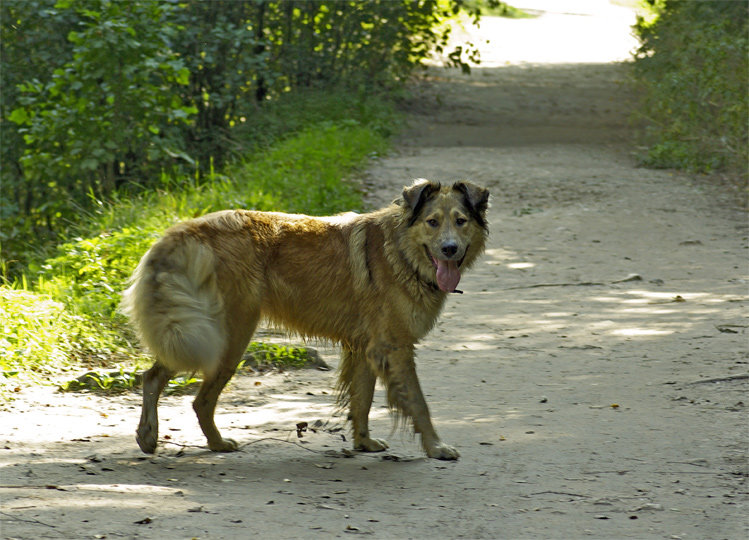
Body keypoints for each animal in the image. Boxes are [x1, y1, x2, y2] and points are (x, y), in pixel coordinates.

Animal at [123, 179, 488, 458]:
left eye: (461, 221)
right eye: (432, 222)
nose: (450, 249)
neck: (401, 251)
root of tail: (189, 230)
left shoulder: (366, 348)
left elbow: (362, 399)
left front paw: (364, 442)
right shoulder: (394, 347)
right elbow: (418, 402)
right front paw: (436, 447)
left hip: (198, 336)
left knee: (153, 376)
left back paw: (150, 435)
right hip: (224, 339)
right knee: (200, 400)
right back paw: (214, 443)